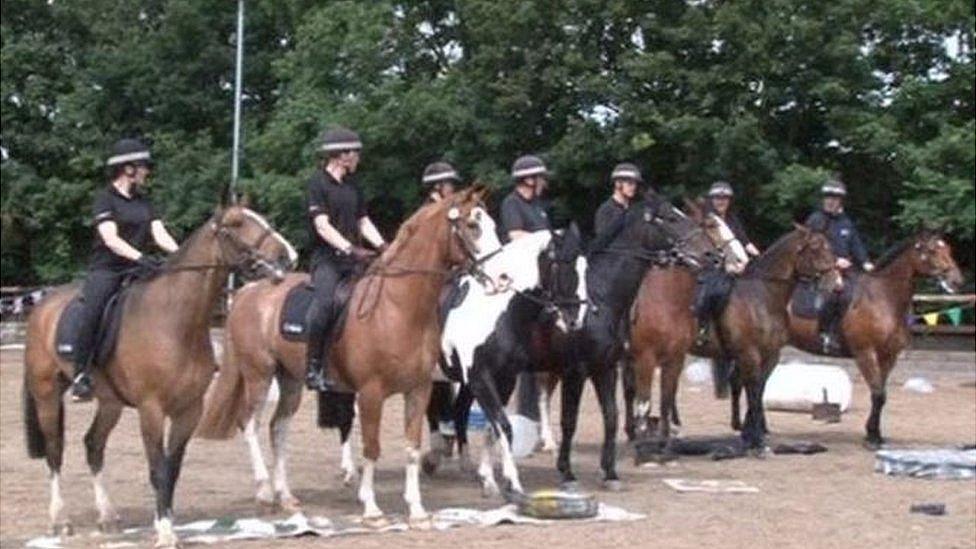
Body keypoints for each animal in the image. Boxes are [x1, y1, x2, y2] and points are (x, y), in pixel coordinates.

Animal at [21, 204, 292, 544]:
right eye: (236, 223)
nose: (287, 256)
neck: (174, 320)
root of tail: (41, 306)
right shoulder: (151, 409)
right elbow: (157, 468)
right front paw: (164, 532)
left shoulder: (189, 410)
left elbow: (172, 469)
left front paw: (168, 522)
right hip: (46, 393)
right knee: (55, 451)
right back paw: (60, 520)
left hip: (110, 403)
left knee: (93, 445)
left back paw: (107, 516)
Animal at [784, 229, 960, 448]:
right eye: (933, 250)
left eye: (949, 249)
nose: (956, 280)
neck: (883, 298)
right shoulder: (865, 354)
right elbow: (877, 394)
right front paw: (873, 438)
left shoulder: (888, 356)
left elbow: (881, 395)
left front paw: (874, 433)